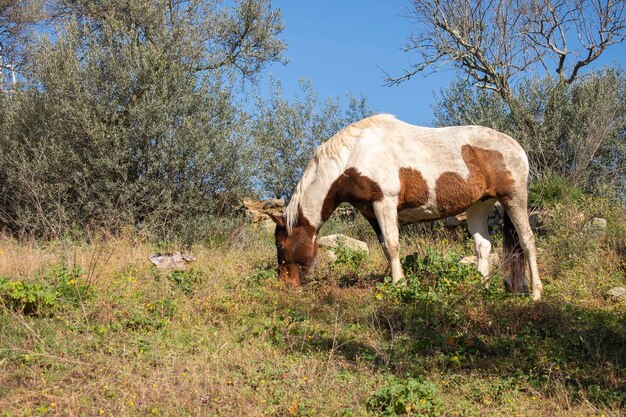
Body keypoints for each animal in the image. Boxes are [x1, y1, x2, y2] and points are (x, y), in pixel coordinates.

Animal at [268, 114, 540, 300]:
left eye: (280, 244)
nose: (285, 285)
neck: (354, 156)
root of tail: (516, 147)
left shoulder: (384, 201)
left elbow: (392, 245)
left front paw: (399, 285)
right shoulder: (371, 211)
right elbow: (385, 247)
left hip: (514, 198)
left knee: (527, 240)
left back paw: (536, 293)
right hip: (479, 206)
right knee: (483, 246)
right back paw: (479, 289)